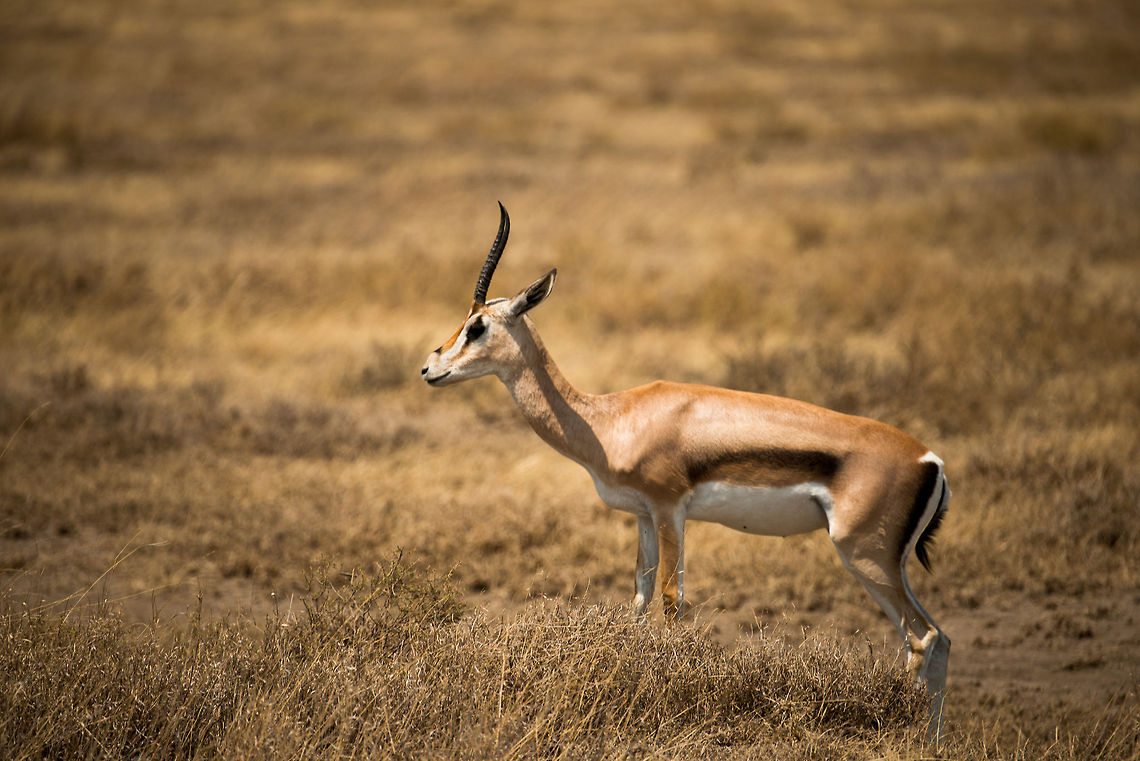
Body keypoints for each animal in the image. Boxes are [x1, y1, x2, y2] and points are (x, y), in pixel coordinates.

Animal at [421, 204, 952, 741]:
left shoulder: (670, 510)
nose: (430, 368)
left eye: (477, 326)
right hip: (886, 562)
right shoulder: (642, 516)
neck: (610, 420)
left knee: (923, 637)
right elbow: (639, 598)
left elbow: (672, 601)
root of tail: (930, 461)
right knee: (938, 640)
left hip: (864, 554)